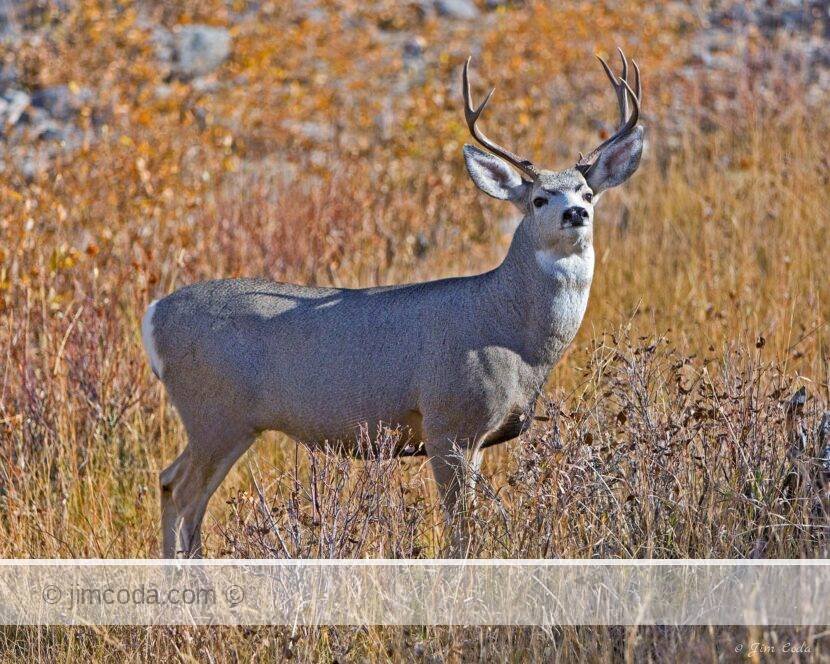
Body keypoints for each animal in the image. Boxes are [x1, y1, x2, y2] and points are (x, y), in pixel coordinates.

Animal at [141, 50, 644, 558]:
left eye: (587, 192)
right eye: (540, 198)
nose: (575, 213)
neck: (511, 332)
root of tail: (153, 315)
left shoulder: (477, 435)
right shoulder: (449, 419)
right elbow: (461, 531)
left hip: (216, 420)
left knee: (169, 483)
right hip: (216, 413)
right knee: (184, 493)